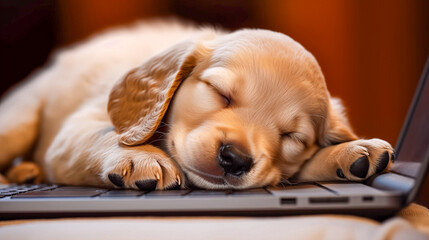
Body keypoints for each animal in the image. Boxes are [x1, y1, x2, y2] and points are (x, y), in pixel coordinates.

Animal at [0, 21, 394, 189]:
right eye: (220, 93)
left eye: (292, 137)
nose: (234, 158)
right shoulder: (75, 131)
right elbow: (102, 134)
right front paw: (140, 157)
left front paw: (352, 153)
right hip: (19, 121)